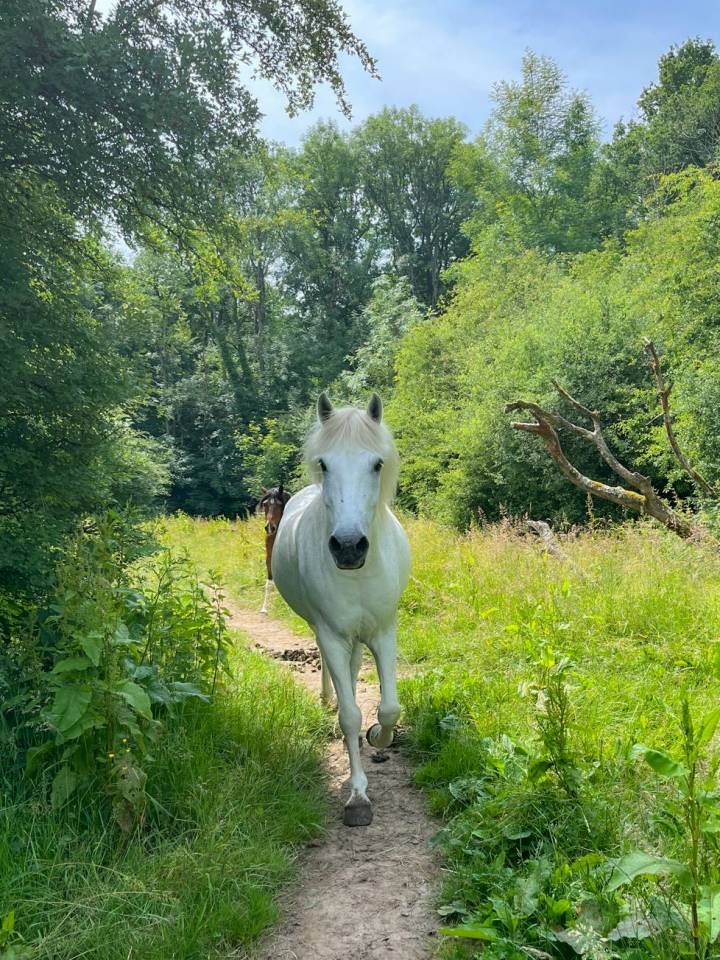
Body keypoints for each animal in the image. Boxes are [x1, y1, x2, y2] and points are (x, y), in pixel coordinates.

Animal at [258, 484, 291, 614]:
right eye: (265, 504)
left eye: (279, 504)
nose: (269, 527)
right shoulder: (269, 557)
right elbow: (269, 583)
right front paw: (264, 609)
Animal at [271, 392, 411, 826]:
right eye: (324, 463)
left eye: (377, 463)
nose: (348, 547)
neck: (358, 573)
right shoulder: (332, 634)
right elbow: (351, 716)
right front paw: (357, 797)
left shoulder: (383, 630)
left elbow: (389, 708)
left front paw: (379, 737)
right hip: (327, 633)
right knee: (336, 676)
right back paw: (327, 702)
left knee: (352, 669)